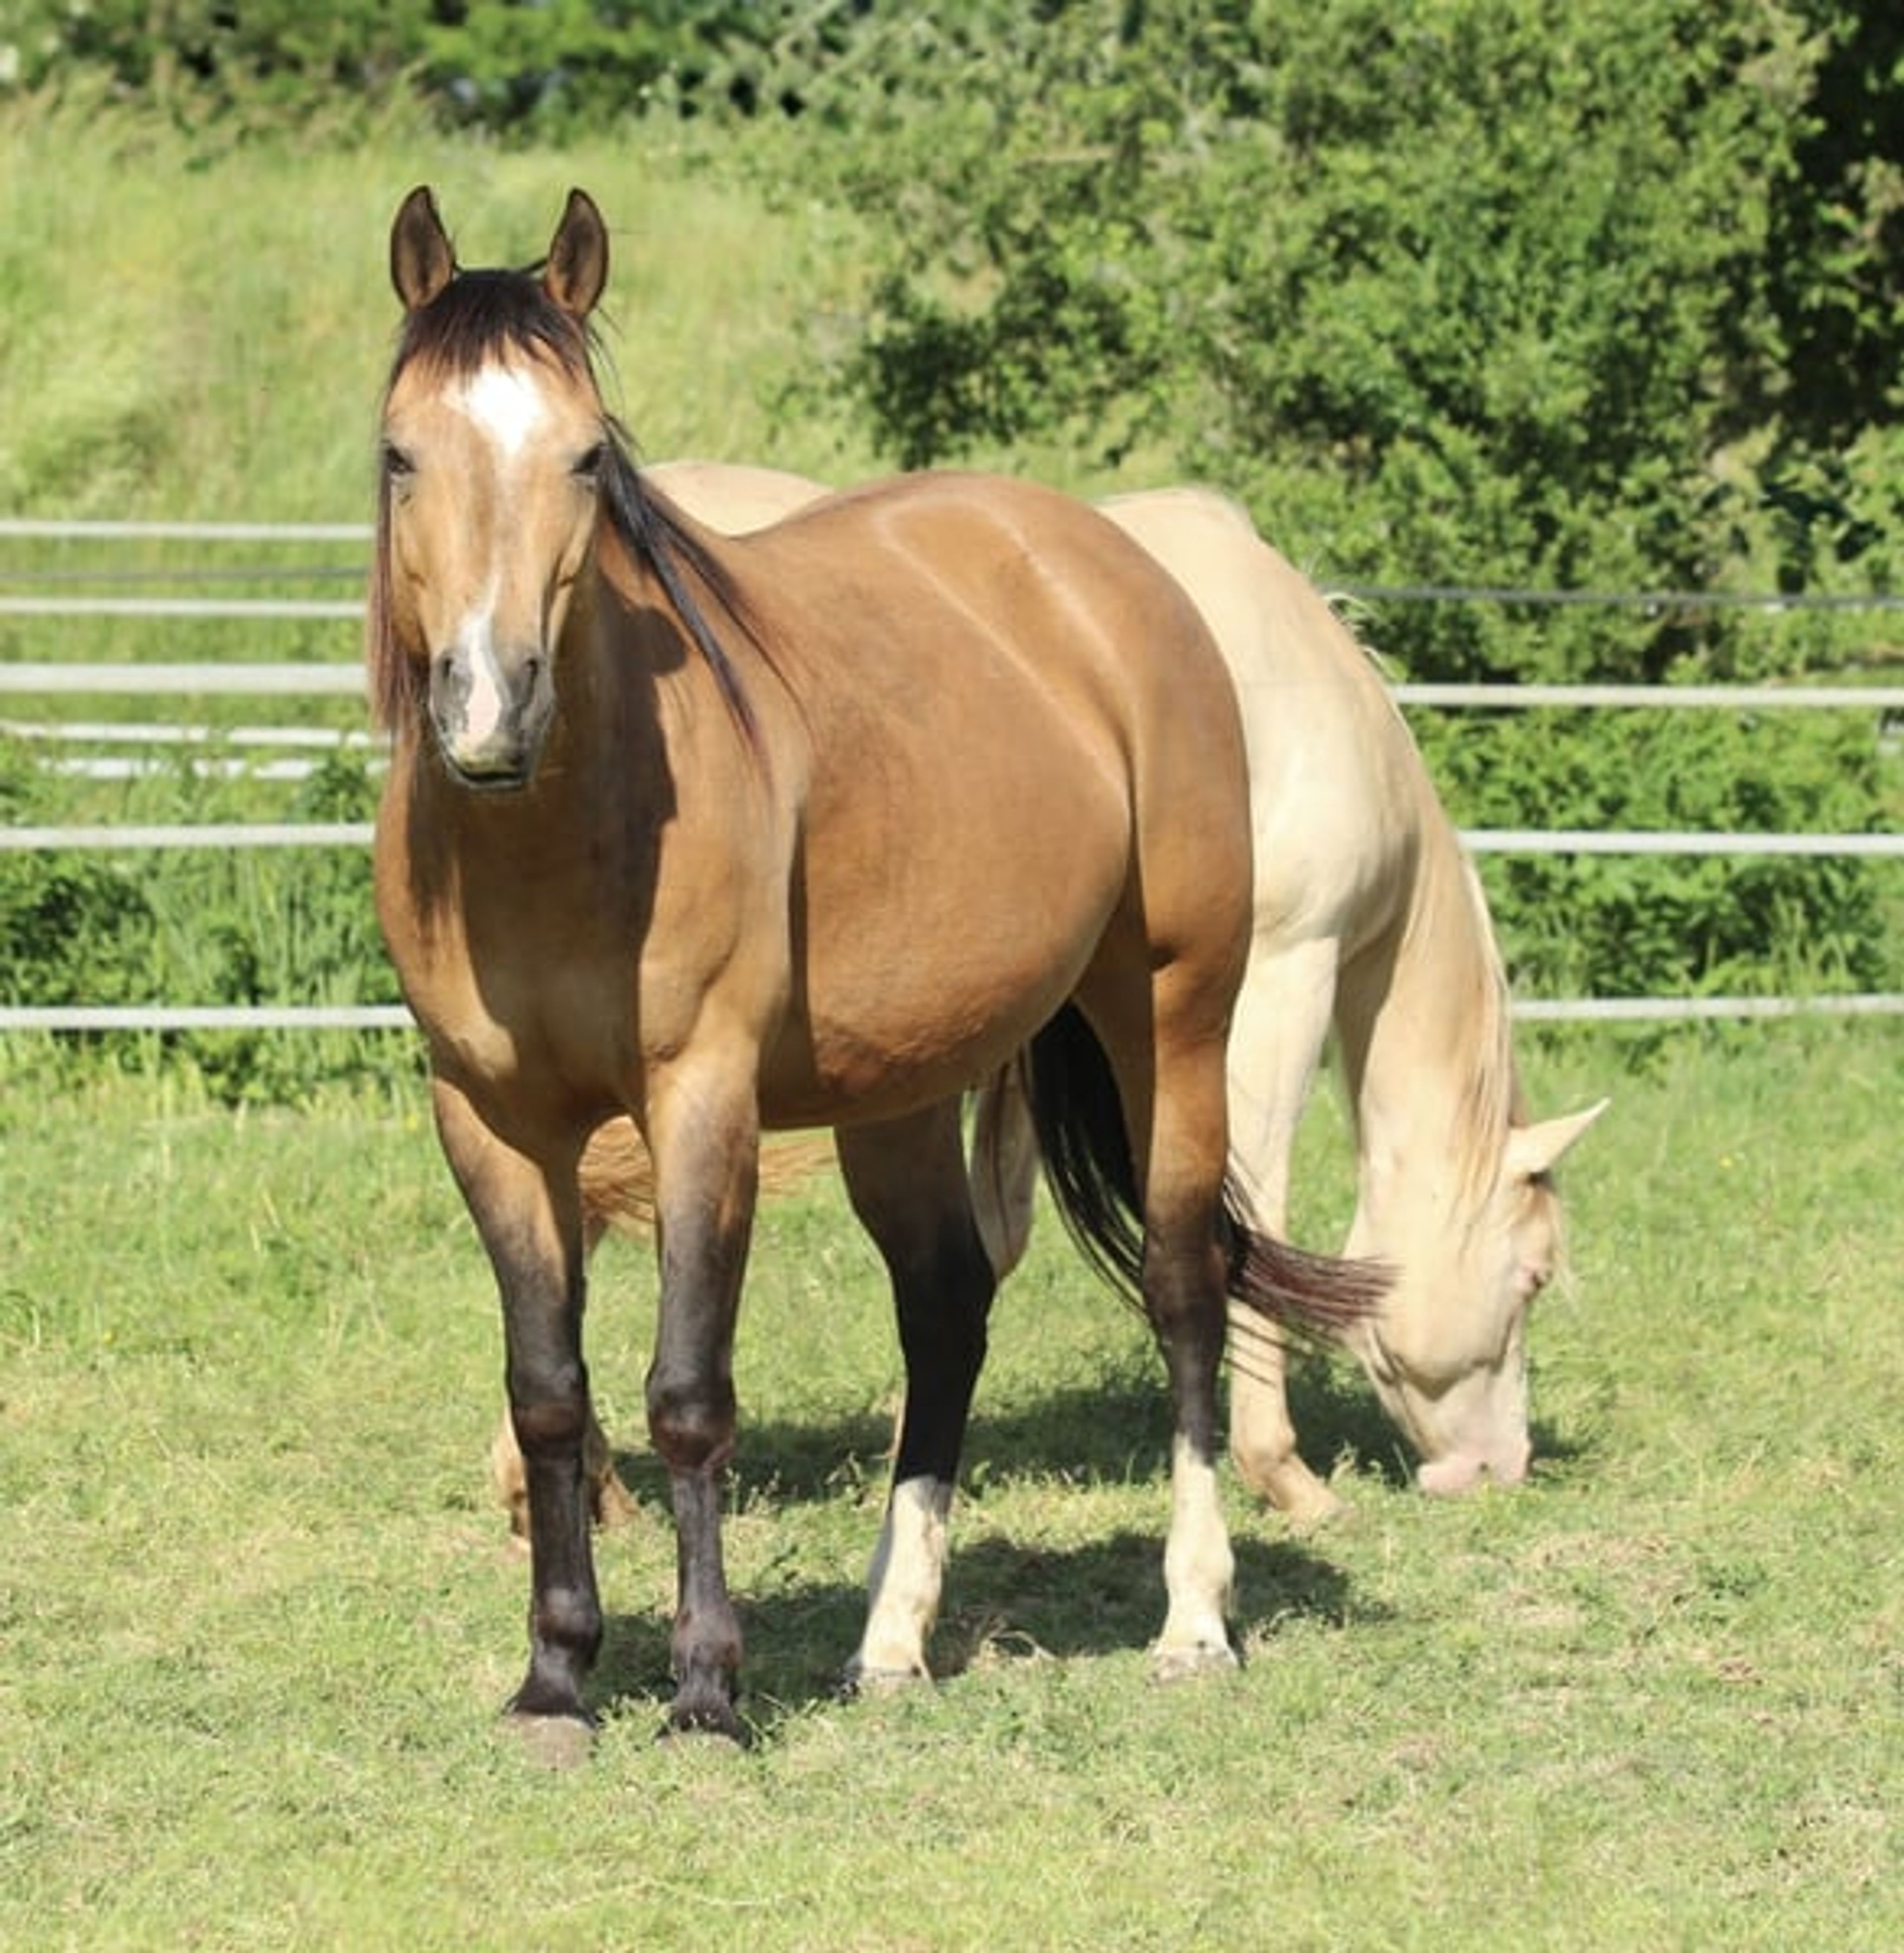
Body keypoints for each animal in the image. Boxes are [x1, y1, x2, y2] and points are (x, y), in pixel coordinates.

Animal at [370, 187, 1382, 1746]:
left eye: (589, 455)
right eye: (400, 453)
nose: (490, 707)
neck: (560, 830)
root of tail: (1107, 570)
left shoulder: (701, 1100)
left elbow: (686, 1392)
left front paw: (706, 1691)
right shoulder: (487, 1119)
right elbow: (548, 1395)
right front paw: (555, 1678)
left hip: (1173, 1013)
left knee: (1182, 1283)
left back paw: (1193, 1621)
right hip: (903, 1086)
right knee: (947, 1308)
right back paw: (892, 1640)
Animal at [501, 463, 1604, 1532]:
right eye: (1534, 1276)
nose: (1498, 1467)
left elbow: (998, 1232)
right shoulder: (1278, 980)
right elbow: (1254, 1194)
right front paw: (1282, 1472)